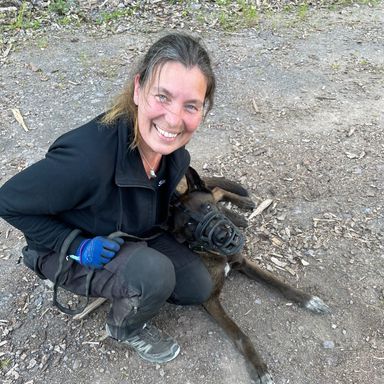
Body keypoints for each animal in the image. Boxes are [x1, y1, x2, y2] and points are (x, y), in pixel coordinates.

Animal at [169, 167, 330, 384]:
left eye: (208, 208)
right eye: (189, 224)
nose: (223, 235)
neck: (216, 253)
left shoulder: (243, 263)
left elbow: (279, 284)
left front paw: (309, 300)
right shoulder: (211, 300)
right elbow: (241, 336)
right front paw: (259, 367)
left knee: (217, 190)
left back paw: (240, 209)